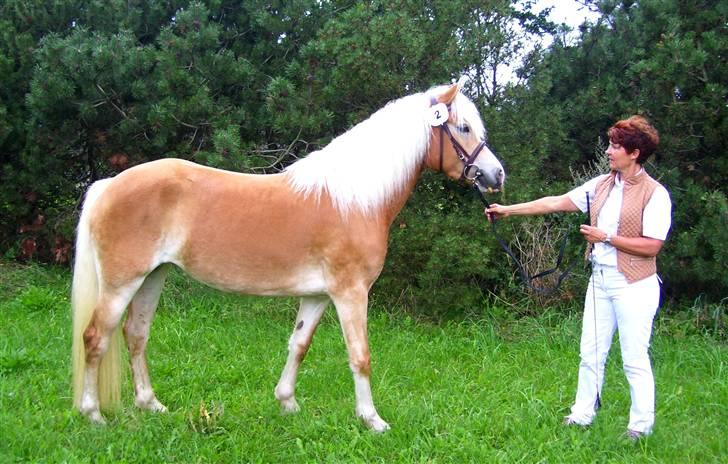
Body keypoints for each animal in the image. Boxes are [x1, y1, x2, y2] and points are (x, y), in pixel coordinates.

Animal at [74, 80, 506, 432]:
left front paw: (287, 403)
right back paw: (92, 414)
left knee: (136, 334)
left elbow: (299, 344)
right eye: (463, 128)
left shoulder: (317, 295)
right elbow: (360, 355)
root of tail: (109, 185)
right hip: (122, 282)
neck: (354, 201)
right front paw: (372, 420)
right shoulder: (351, 293)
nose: (496, 175)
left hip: (154, 276)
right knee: (96, 336)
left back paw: (151, 405)